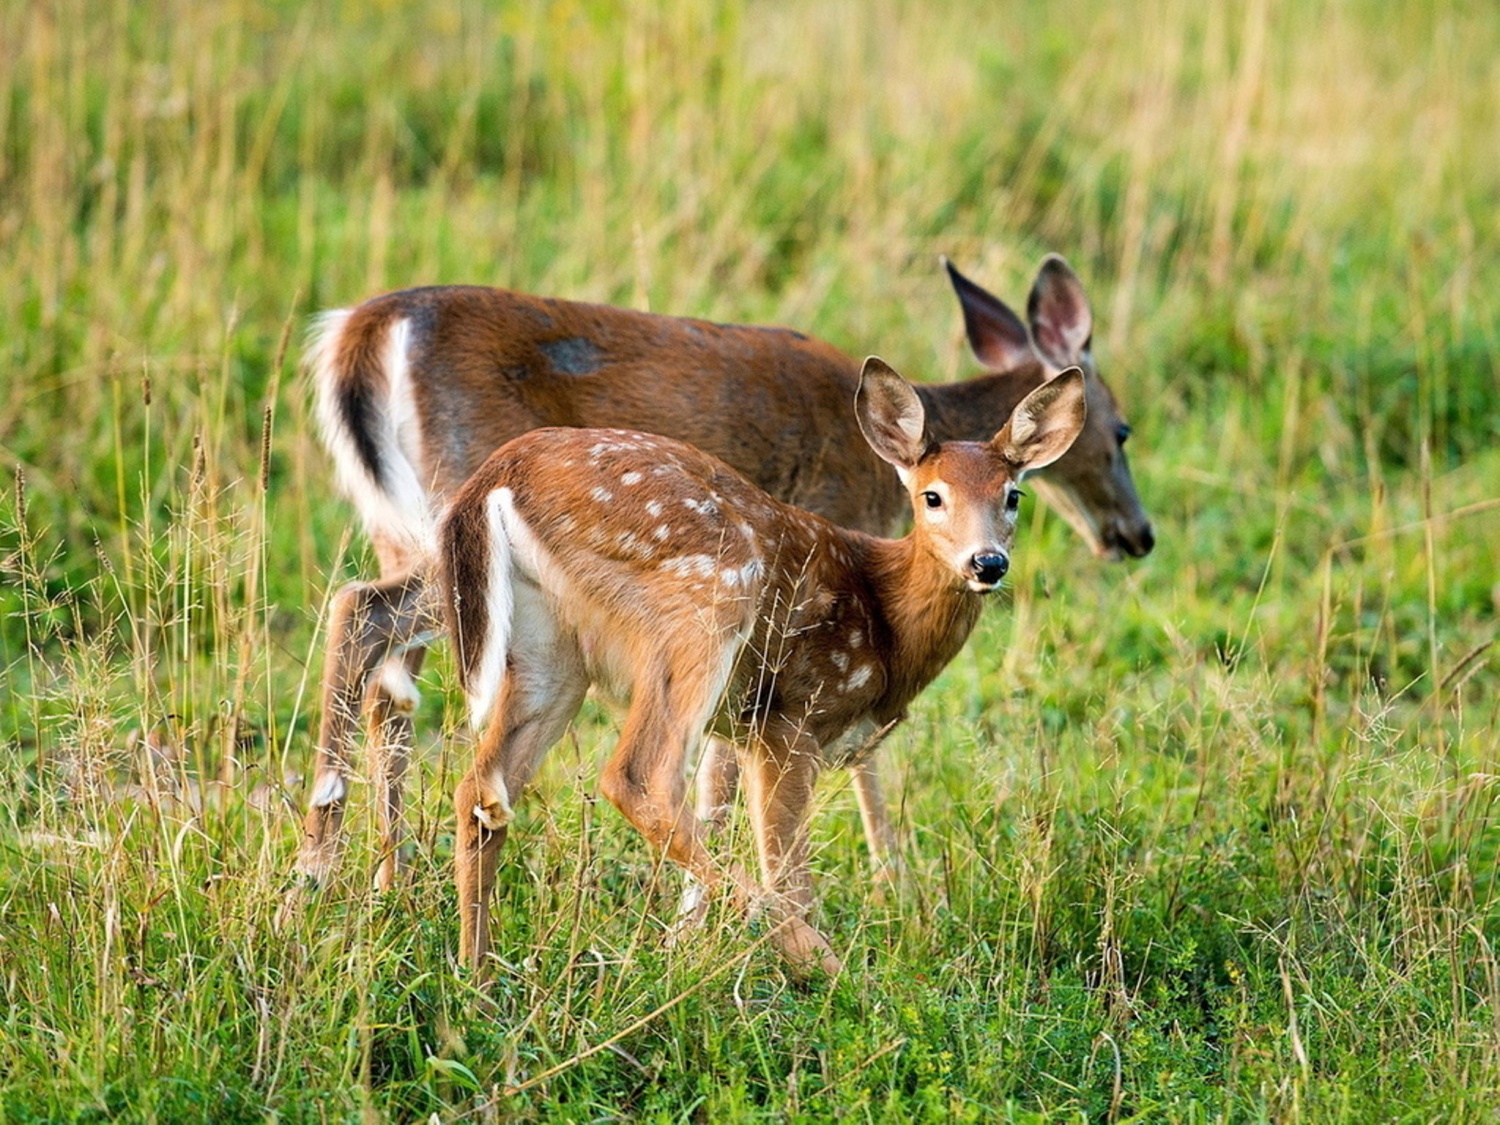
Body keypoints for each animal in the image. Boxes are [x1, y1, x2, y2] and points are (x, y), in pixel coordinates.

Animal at [298, 259, 1152, 894]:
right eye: (1121, 430)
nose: (1137, 534)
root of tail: (361, 332)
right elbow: (828, 750)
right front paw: (893, 881)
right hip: (461, 523)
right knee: (363, 614)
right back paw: (321, 868)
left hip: (408, 531)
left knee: (387, 666)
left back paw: (379, 874)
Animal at [438, 357, 1086, 972]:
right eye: (933, 496)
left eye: (1012, 495)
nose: (987, 562)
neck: (887, 622)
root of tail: (501, 475)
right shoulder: (791, 717)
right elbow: (789, 869)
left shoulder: (749, 729)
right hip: (707, 601)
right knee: (639, 778)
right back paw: (823, 964)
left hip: (549, 648)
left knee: (483, 789)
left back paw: (478, 975)